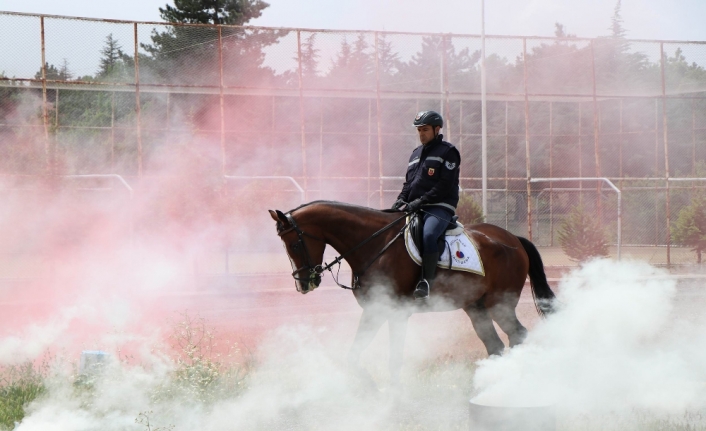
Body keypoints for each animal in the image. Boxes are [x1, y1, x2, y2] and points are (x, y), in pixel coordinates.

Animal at [266, 201, 552, 386]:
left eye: (294, 244)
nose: (303, 284)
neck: (374, 244)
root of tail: (514, 240)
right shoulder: (375, 310)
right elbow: (354, 354)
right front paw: (368, 385)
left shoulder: (392, 312)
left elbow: (393, 358)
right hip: (476, 307)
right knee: (495, 345)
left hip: (499, 304)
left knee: (517, 334)